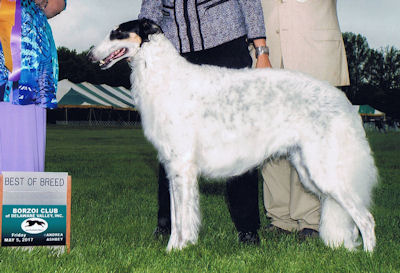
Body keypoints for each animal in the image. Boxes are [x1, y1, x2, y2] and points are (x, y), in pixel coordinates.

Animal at [90, 17, 378, 251]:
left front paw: (174, 250)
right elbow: (177, 216)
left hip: (326, 170)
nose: (91, 56)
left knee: (367, 219)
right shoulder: (173, 167)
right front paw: (181, 246)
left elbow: (181, 219)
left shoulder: (182, 166)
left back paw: (368, 255)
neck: (164, 75)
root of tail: (343, 101)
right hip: (309, 168)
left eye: (117, 33)